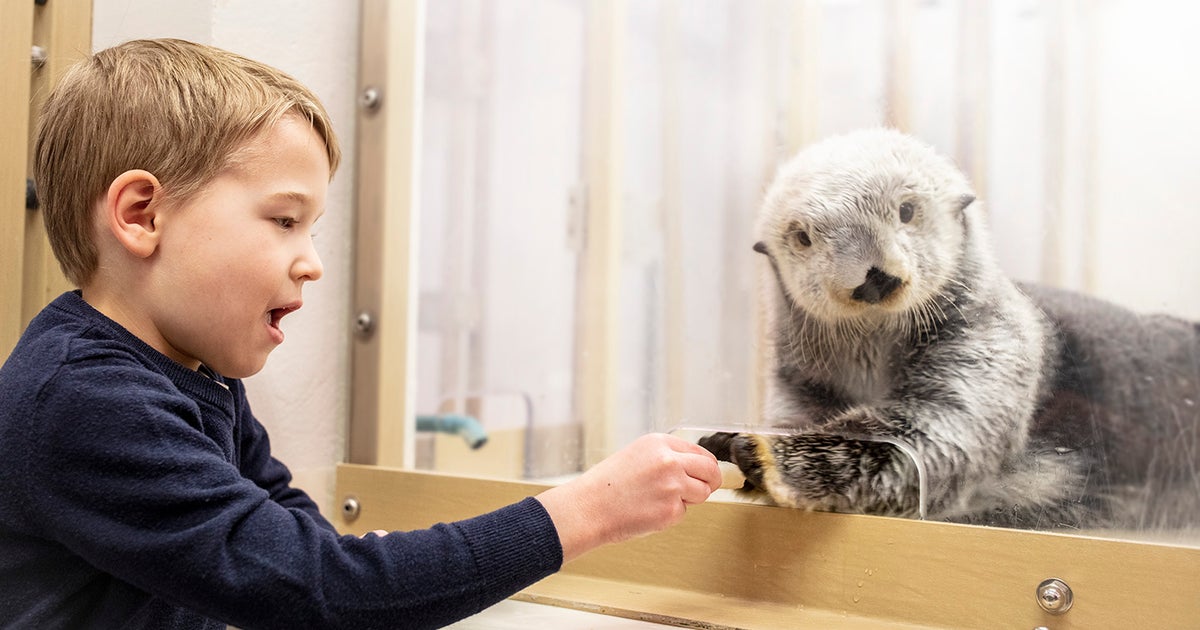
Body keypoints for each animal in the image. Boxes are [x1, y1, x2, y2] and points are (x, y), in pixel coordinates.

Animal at [701, 128, 1200, 531]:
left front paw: (758, 450)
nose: (875, 276)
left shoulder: (988, 339)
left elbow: (932, 425)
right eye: (803, 238)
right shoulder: (800, 380)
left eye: (906, 211)